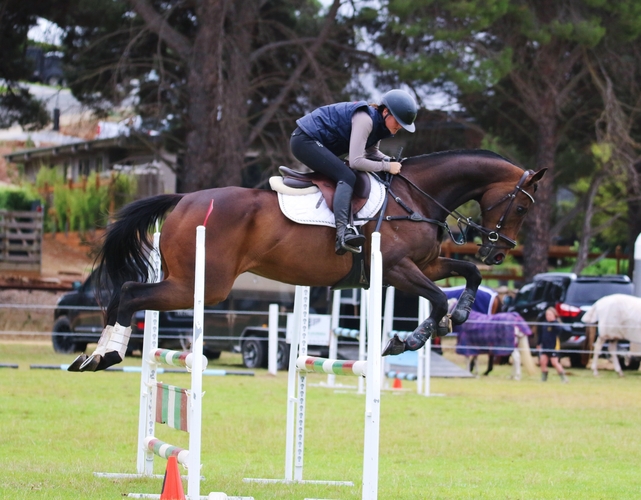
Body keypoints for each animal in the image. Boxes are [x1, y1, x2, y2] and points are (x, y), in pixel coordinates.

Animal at [67, 149, 546, 372]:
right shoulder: (396, 270)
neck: (415, 198)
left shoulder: (424, 266)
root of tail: (184, 199)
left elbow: (467, 274)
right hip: (200, 285)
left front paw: (459, 316)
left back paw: (92, 357)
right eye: (522, 207)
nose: (499, 250)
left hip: (190, 281)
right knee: (132, 294)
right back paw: (107, 354)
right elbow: (438, 298)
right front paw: (408, 339)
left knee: (126, 293)